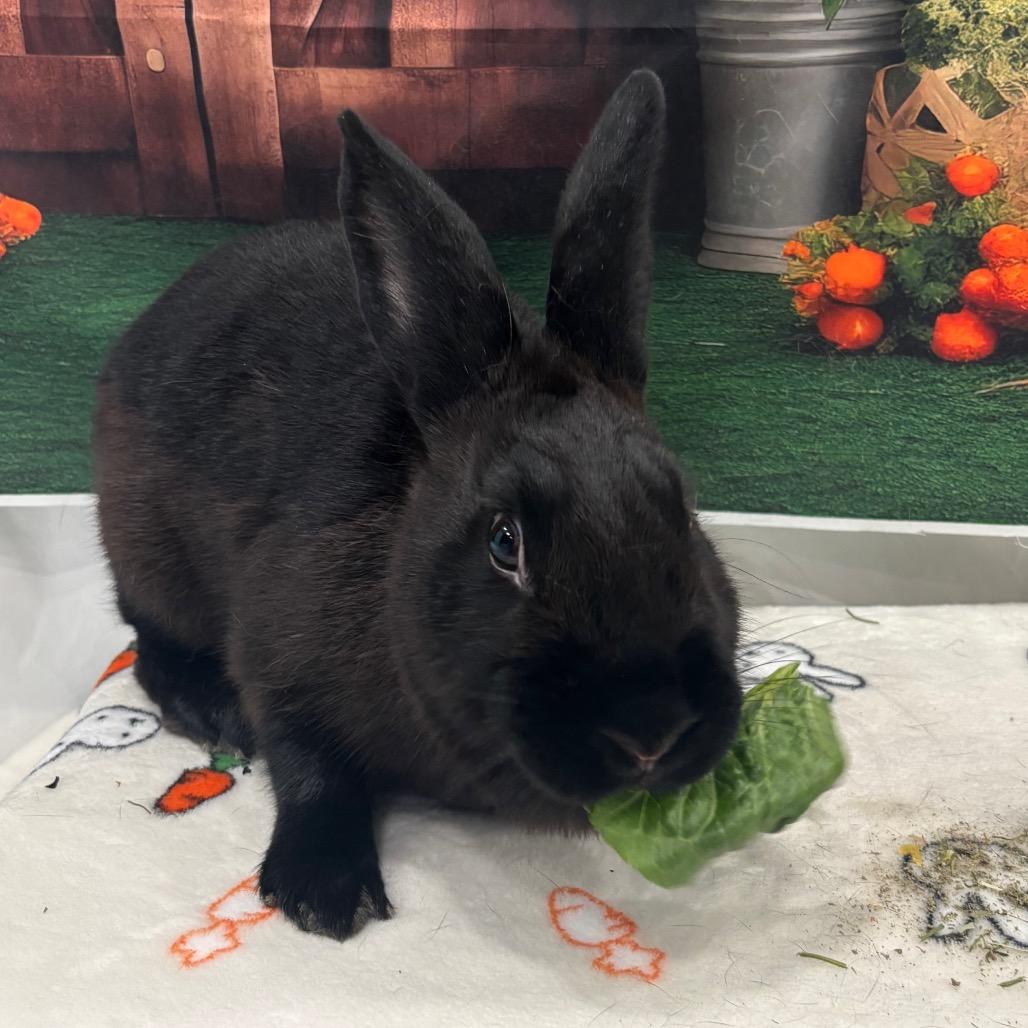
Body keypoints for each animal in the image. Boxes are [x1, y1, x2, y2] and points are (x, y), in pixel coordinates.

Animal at [93, 69, 742, 941]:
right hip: (145, 552)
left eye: (682, 510)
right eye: (504, 542)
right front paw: (324, 892)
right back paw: (211, 710)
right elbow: (308, 766)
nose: (651, 732)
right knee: (147, 642)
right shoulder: (278, 661)